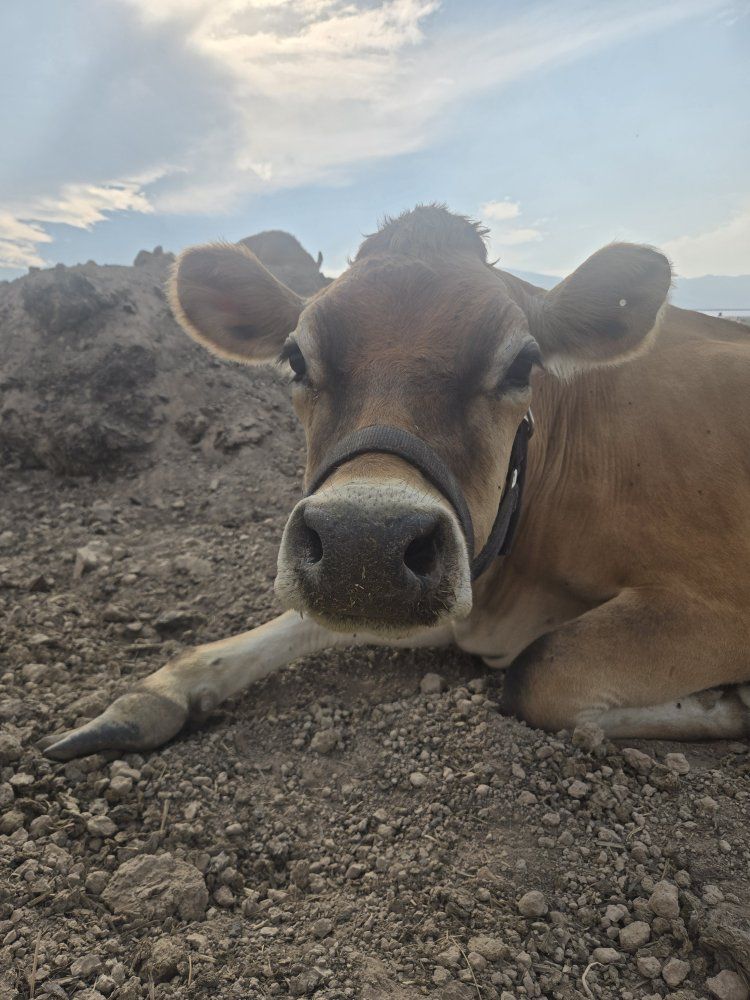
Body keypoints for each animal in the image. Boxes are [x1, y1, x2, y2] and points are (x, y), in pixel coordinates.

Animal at [42, 204, 750, 761]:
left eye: (522, 364)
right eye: (295, 357)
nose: (364, 544)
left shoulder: (717, 601)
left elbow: (539, 674)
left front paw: (726, 700)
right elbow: (297, 622)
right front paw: (153, 693)